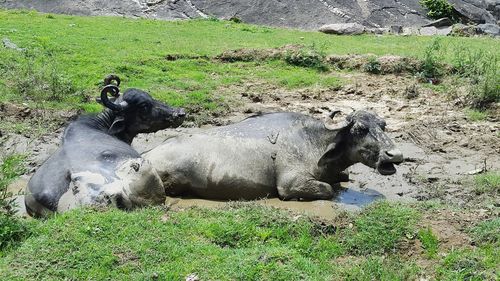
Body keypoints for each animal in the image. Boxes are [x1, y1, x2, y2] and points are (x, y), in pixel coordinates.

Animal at [144, 109, 402, 199]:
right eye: (360, 129)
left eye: (383, 125)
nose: (395, 155)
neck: (314, 142)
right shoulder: (291, 183)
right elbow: (328, 190)